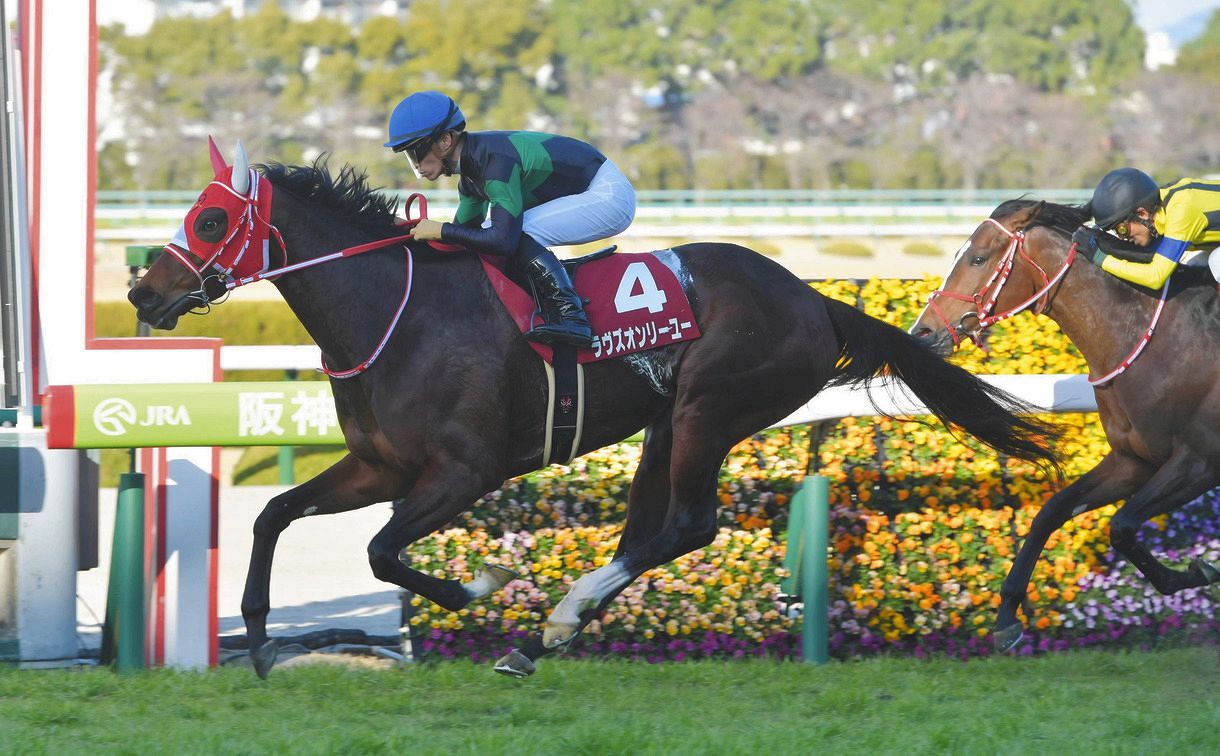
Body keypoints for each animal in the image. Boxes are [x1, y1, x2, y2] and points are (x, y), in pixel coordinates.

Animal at [126, 141, 1058, 677]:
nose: (142, 291)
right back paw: (544, 637)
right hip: (665, 422)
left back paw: (558, 618)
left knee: (689, 526)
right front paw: (257, 638)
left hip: (711, 409)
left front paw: (477, 584)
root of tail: (813, 298)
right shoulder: (378, 465)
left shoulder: (463, 471)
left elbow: (383, 552)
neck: (397, 310)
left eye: (210, 221)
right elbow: (275, 515)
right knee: (648, 531)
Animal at [917, 198, 1220, 648]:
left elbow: (1121, 526)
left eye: (978, 258)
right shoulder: (1135, 459)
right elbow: (1052, 510)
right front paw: (1007, 616)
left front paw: (1197, 571)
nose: (922, 332)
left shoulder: (1199, 460)